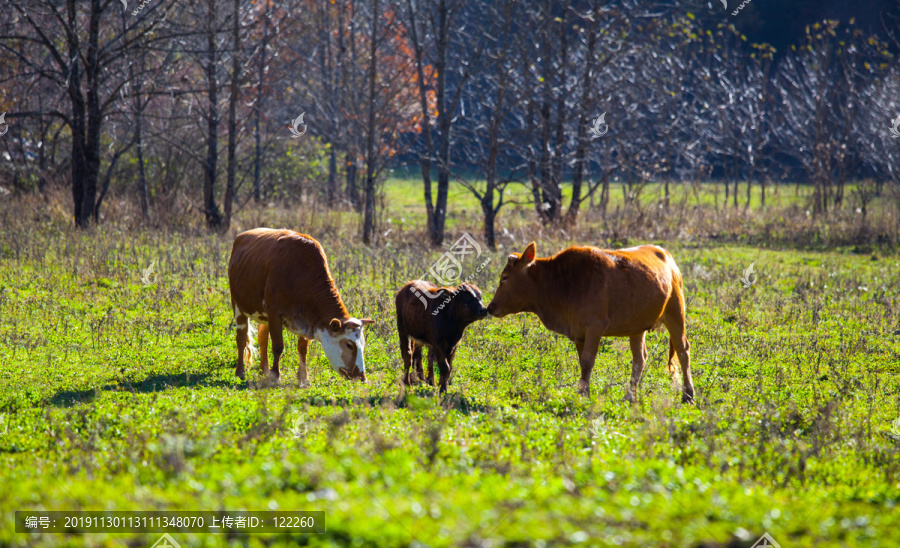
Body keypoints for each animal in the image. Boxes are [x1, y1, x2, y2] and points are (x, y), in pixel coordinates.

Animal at [230, 227, 374, 386]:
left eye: (363, 343)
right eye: (349, 344)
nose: (361, 377)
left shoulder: (306, 318)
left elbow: (302, 348)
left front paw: (303, 378)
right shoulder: (275, 313)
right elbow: (278, 346)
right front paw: (276, 376)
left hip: (264, 316)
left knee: (262, 339)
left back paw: (264, 371)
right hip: (237, 305)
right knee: (241, 338)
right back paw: (240, 372)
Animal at [488, 243, 692, 402]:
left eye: (504, 277)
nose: (490, 307)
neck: (563, 283)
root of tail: (666, 255)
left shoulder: (595, 327)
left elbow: (587, 360)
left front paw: (583, 394)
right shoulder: (578, 333)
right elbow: (582, 362)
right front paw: (584, 391)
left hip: (675, 312)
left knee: (683, 351)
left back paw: (688, 394)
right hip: (637, 327)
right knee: (639, 359)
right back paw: (629, 395)